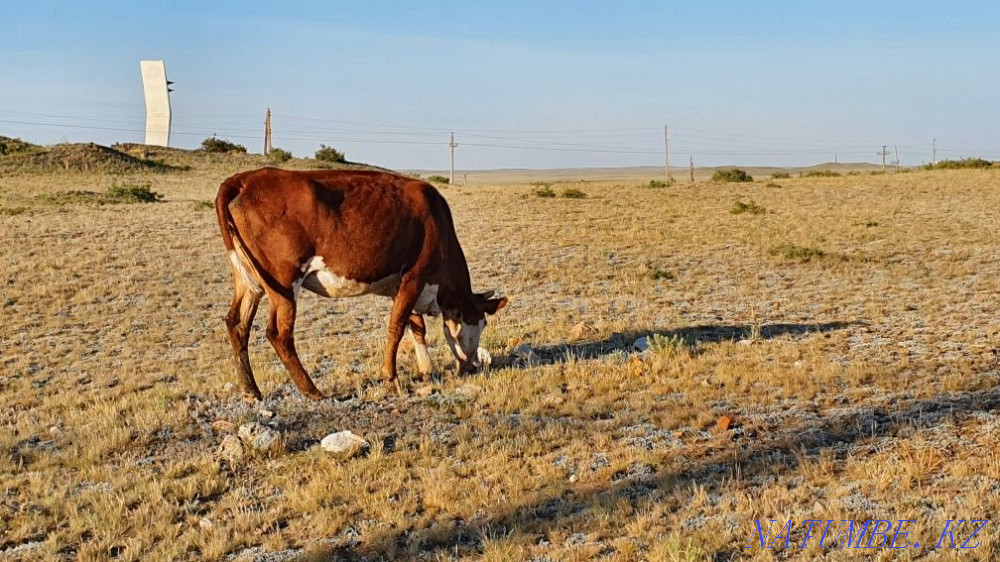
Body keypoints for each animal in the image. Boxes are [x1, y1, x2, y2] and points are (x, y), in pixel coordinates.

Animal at [214, 167, 508, 401]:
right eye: (482, 323)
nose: (473, 365)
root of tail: (246, 178)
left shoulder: (400, 286)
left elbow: (416, 325)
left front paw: (427, 369)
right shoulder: (415, 276)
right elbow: (397, 326)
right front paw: (392, 378)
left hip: (249, 280)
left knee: (237, 325)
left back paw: (251, 391)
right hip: (283, 281)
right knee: (279, 333)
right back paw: (312, 391)